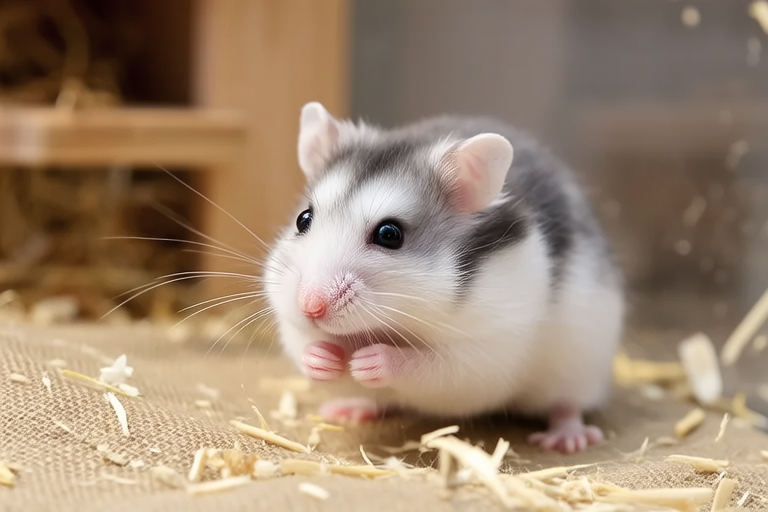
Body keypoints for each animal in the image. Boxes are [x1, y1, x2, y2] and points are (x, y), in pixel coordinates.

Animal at [263, 102, 625, 454]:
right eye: (303, 219)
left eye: (389, 234)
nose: (310, 307)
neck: (386, 325)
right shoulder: (293, 326)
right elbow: (308, 348)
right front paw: (323, 358)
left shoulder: (482, 354)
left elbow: (428, 367)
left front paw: (369, 360)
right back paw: (348, 410)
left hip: (580, 367)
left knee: (567, 405)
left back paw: (567, 439)